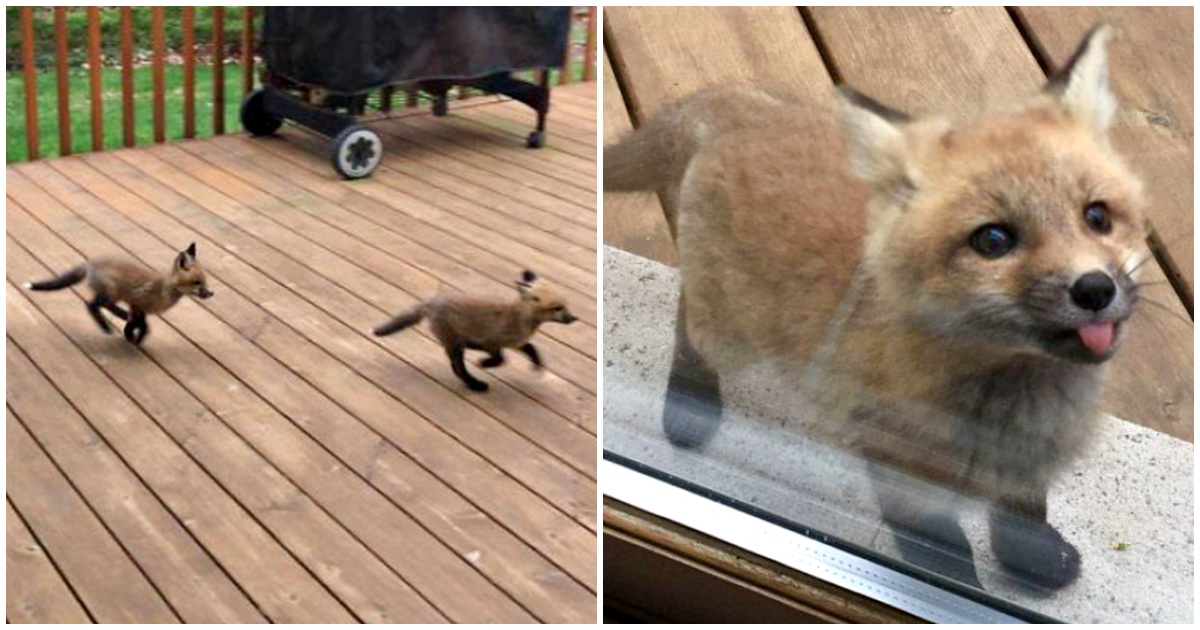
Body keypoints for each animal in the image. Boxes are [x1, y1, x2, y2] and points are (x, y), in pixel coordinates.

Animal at [23, 243, 214, 345]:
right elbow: (142, 325)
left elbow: (141, 325)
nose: (211, 293)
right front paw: (133, 336)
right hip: (110, 291)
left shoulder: (137, 307)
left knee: (105, 306)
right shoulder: (137, 303)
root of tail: (89, 263)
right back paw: (105, 326)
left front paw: (132, 335)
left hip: (114, 295)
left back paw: (120, 316)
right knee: (91, 305)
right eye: (196, 283)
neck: (162, 291)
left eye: (205, 282)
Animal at [372, 270, 578, 392]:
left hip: (454, 344)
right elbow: (500, 359)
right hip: (455, 344)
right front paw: (484, 363)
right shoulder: (489, 342)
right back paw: (475, 385)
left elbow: (532, 348)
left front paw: (537, 364)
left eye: (565, 306)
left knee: (455, 367)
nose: (574, 318)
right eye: (557, 308)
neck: (520, 320)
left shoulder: (515, 343)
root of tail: (430, 302)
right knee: (458, 368)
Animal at [605, 26, 1148, 591]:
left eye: (1097, 217)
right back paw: (690, 403)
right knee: (689, 320)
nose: (1095, 289)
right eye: (993, 240)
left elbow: (1023, 512)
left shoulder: (1028, 461)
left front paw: (1033, 558)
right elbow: (949, 561)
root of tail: (742, 110)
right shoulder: (901, 472)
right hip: (731, 332)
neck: (1013, 405)